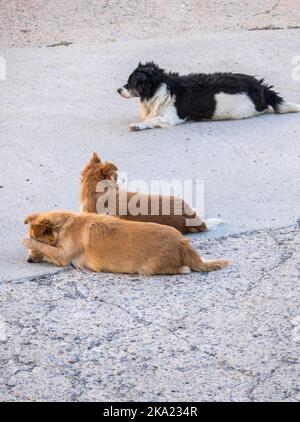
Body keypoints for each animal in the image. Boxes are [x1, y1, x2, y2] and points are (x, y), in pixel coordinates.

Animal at [20, 210, 230, 276]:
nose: (28, 261)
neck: (65, 224)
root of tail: (184, 245)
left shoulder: (63, 256)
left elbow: (46, 247)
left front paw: (27, 241)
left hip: (150, 268)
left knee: (183, 269)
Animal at [118, 61, 300, 130]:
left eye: (130, 82)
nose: (118, 90)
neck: (158, 87)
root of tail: (261, 87)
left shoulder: (170, 117)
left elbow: (152, 120)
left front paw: (137, 125)